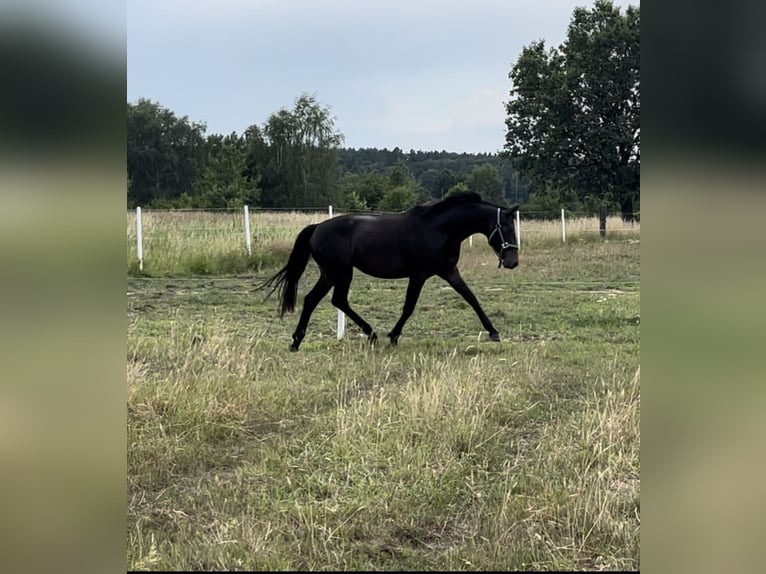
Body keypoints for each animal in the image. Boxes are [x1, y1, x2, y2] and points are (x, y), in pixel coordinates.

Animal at [258, 194, 520, 354]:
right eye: (507, 227)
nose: (512, 262)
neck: (439, 229)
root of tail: (317, 228)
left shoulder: (448, 271)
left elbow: (471, 297)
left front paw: (493, 332)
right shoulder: (419, 275)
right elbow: (409, 307)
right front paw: (393, 336)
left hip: (330, 274)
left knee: (313, 299)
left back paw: (296, 341)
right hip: (341, 272)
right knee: (337, 300)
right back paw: (371, 333)